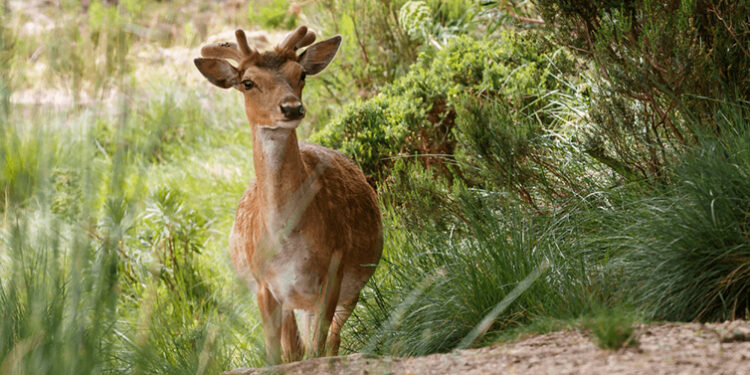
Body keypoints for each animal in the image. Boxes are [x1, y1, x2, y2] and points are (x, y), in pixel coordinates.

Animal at [194, 27, 384, 368]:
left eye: (301, 75)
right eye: (248, 82)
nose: (292, 108)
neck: (287, 241)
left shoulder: (333, 269)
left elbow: (316, 348)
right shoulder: (264, 284)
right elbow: (277, 354)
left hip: (350, 287)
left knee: (332, 340)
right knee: (295, 346)